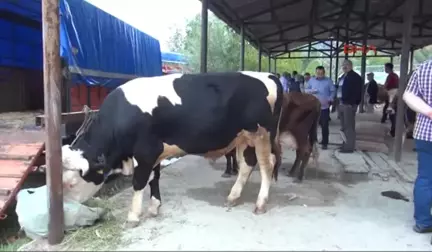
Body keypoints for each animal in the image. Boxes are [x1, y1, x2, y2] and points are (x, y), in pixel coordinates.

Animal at [60, 71, 284, 228]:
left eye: (71, 184)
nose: (66, 211)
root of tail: (269, 75)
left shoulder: (145, 151)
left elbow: (139, 182)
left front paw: (133, 216)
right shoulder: (154, 153)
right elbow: (154, 178)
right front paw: (154, 207)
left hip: (262, 134)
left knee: (267, 165)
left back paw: (260, 203)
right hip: (244, 138)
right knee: (247, 165)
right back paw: (233, 197)